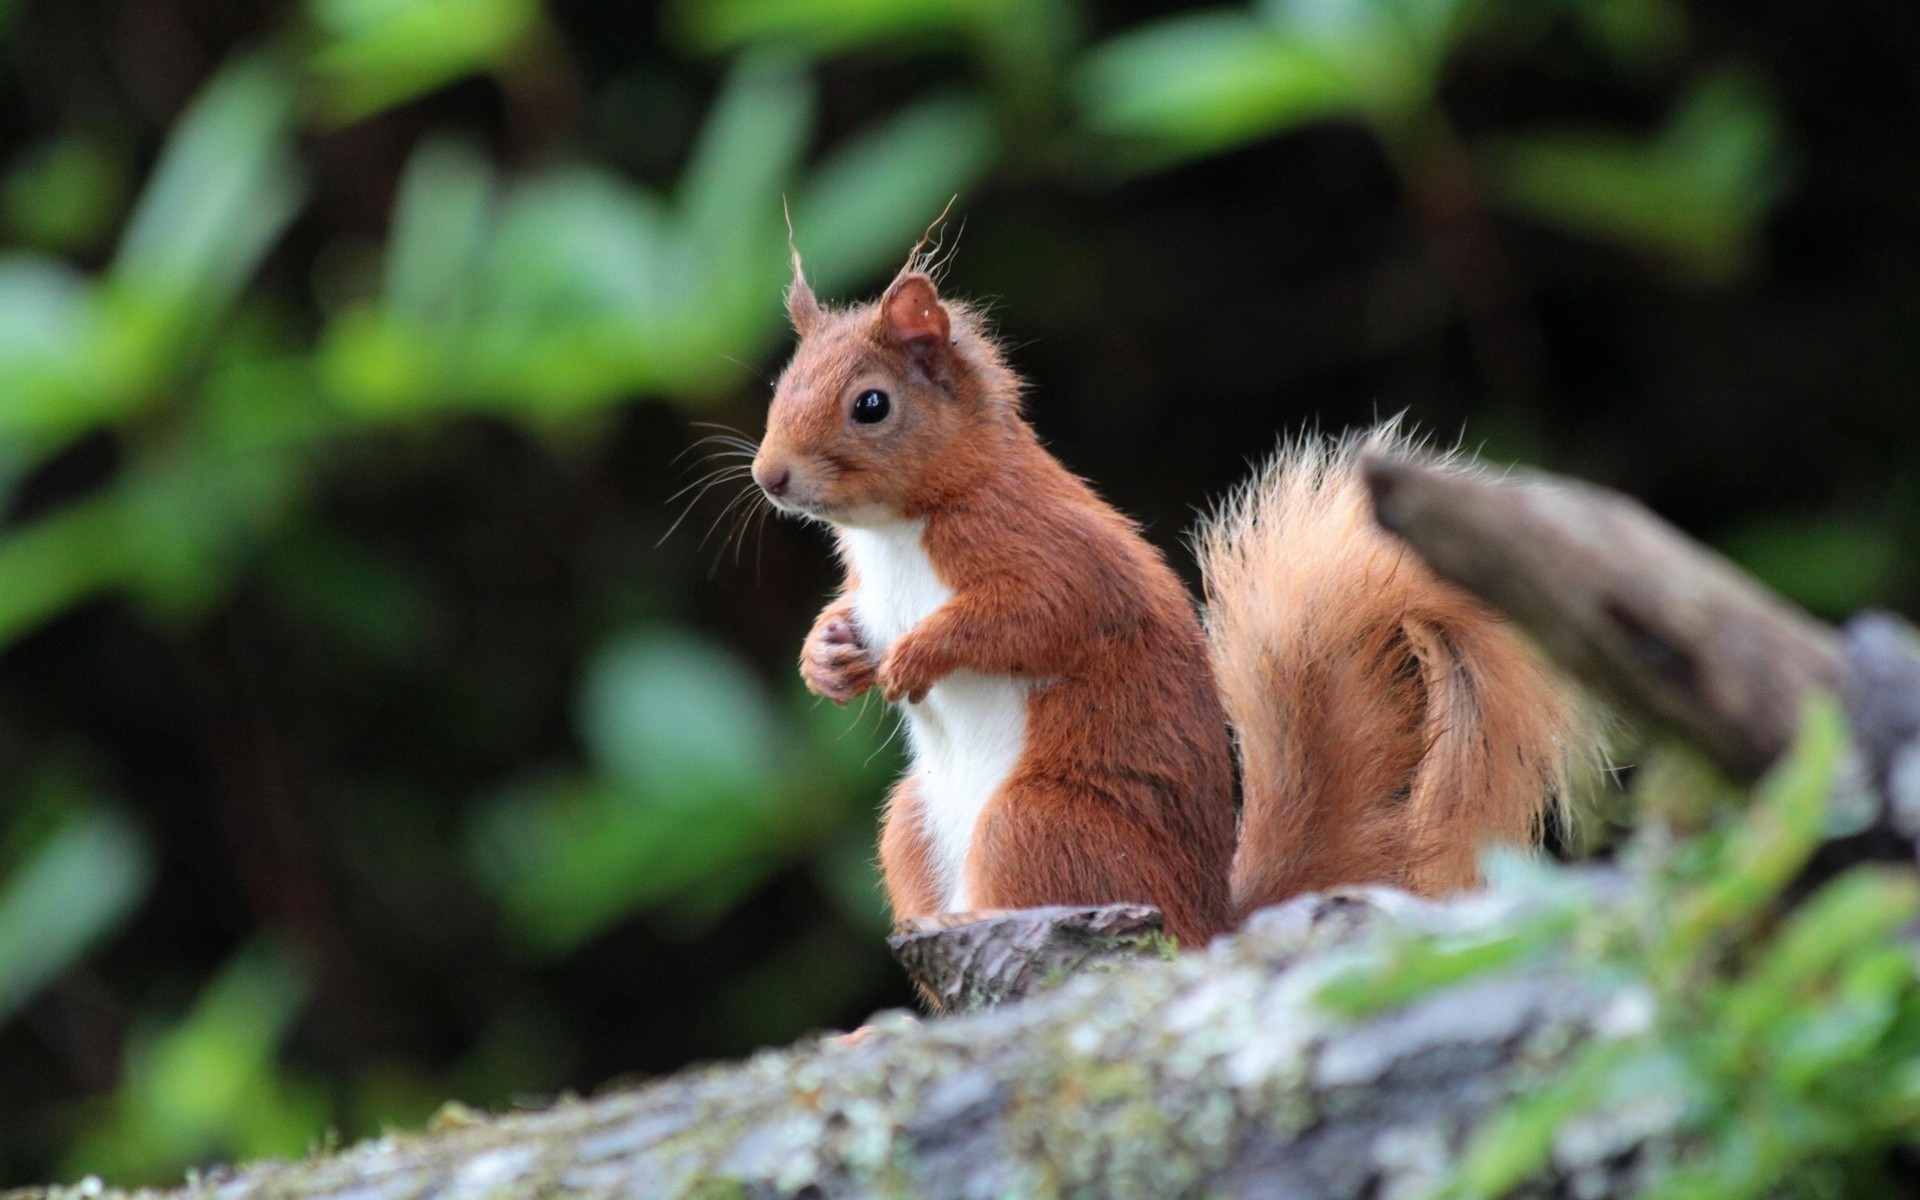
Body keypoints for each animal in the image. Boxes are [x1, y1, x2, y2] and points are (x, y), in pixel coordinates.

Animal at [741, 245, 1582, 944]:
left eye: (871, 405)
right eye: (781, 385)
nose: (768, 476)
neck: (895, 532)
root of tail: (1207, 919)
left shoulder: (1050, 553)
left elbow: (1036, 615)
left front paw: (916, 657)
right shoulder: (869, 588)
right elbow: (848, 618)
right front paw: (826, 660)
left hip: (1036, 822)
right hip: (911, 825)